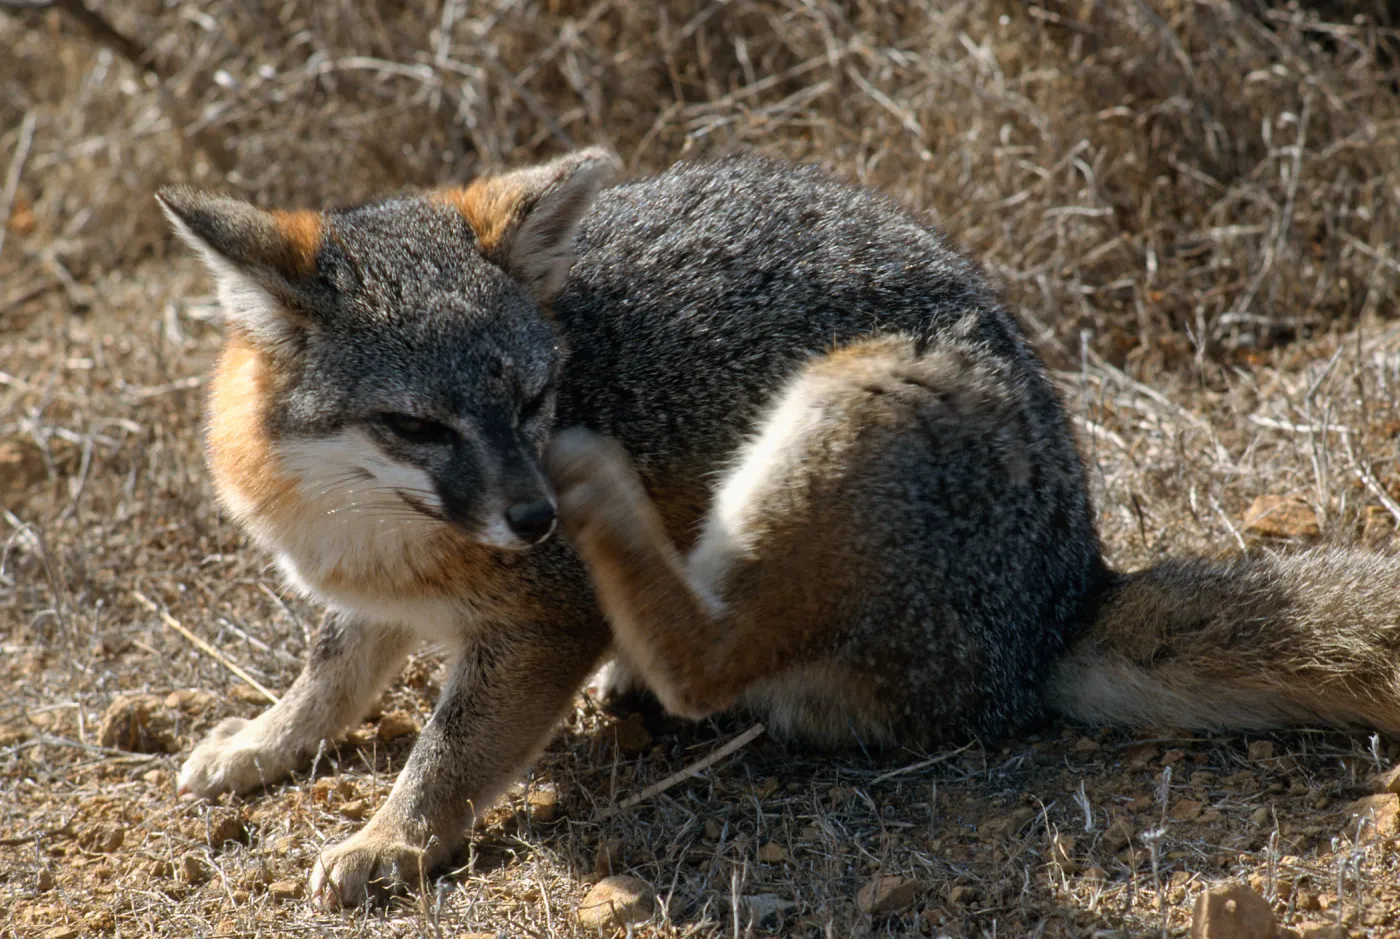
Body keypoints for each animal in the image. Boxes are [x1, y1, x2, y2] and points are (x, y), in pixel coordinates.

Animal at [157, 147, 1400, 909]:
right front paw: (264, 741)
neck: (362, 529)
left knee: (710, 664)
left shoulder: (540, 625)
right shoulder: (361, 596)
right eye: (416, 425)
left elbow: (448, 752)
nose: (534, 515)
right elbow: (330, 674)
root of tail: (1061, 600)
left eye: (533, 398)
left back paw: (620, 539)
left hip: (847, 400)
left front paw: (391, 840)